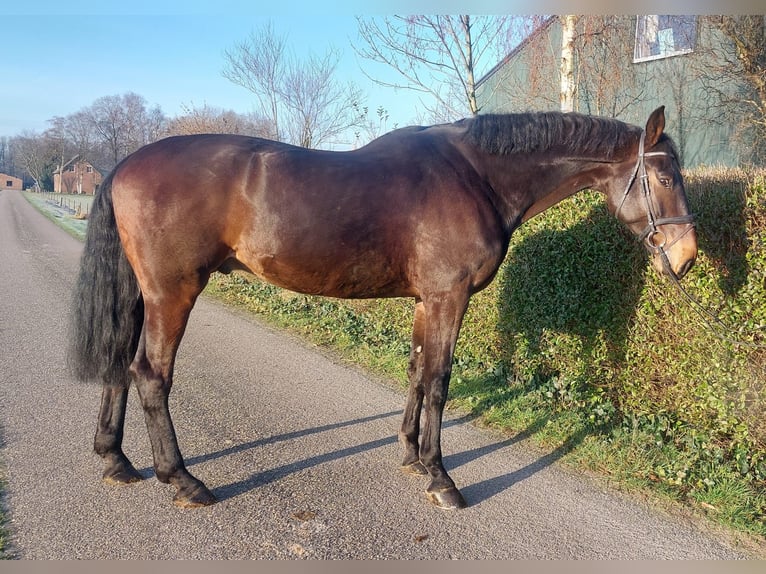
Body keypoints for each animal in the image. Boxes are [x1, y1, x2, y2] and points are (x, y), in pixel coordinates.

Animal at [69, 106, 697, 510]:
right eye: (665, 174)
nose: (686, 256)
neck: (475, 176)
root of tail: (125, 165)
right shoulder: (448, 297)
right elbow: (439, 381)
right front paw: (442, 479)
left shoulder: (427, 302)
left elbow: (416, 372)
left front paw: (412, 455)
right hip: (173, 292)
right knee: (151, 375)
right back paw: (182, 480)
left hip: (141, 293)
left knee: (120, 365)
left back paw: (115, 460)